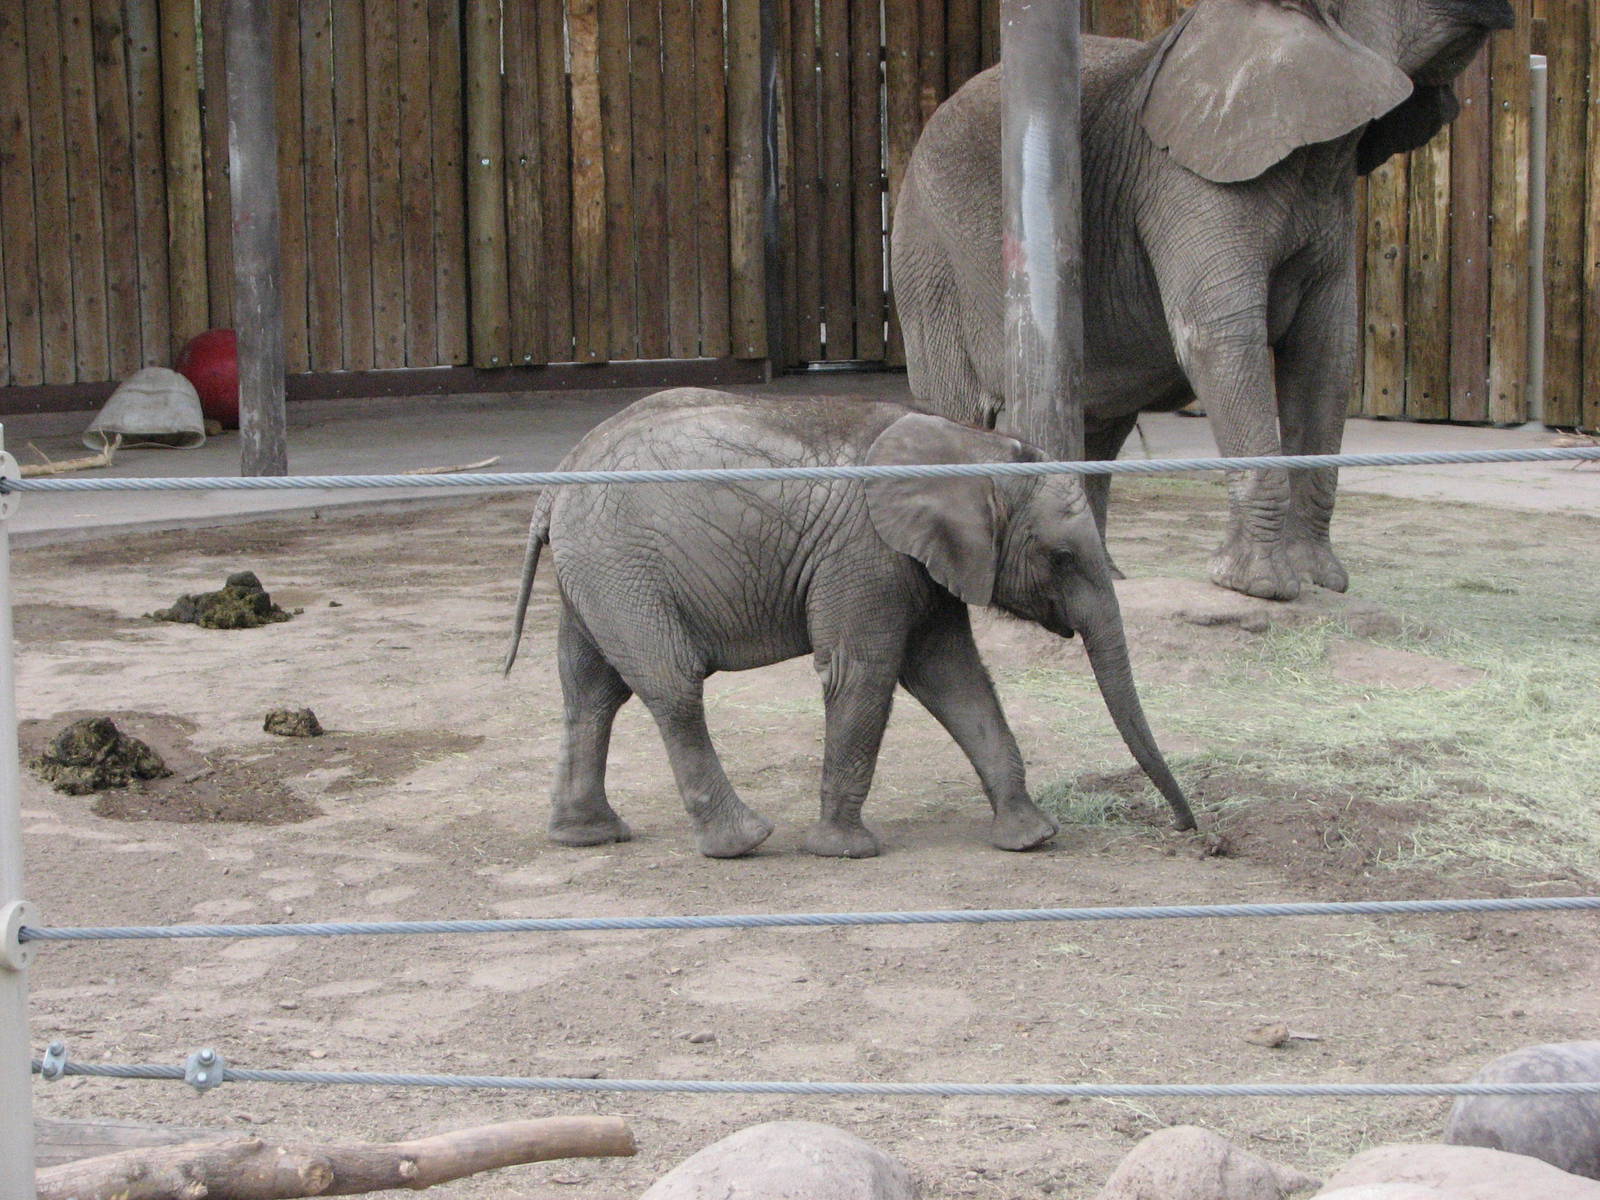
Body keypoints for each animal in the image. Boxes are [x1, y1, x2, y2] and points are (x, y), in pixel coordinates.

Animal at [503, 387, 1196, 859]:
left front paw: (1031, 839)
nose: (1192, 832)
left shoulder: (921, 562)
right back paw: (744, 841)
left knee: (589, 690)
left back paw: (589, 836)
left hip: (595, 571)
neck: (974, 444)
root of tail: (559, 477)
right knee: (672, 687)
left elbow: (955, 678)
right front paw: (844, 851)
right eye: (1060, 557)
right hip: (623, 564)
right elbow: (861, 672)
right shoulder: (867, 553)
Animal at [891, 0, 1515, 602]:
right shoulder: (1186, 182)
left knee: (1100, 420)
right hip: (930, 256)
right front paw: (1258, 588)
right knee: (961, 412)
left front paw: (1319, 582)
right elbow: (1220, 340)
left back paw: (1105, 581)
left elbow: (1327, 354)